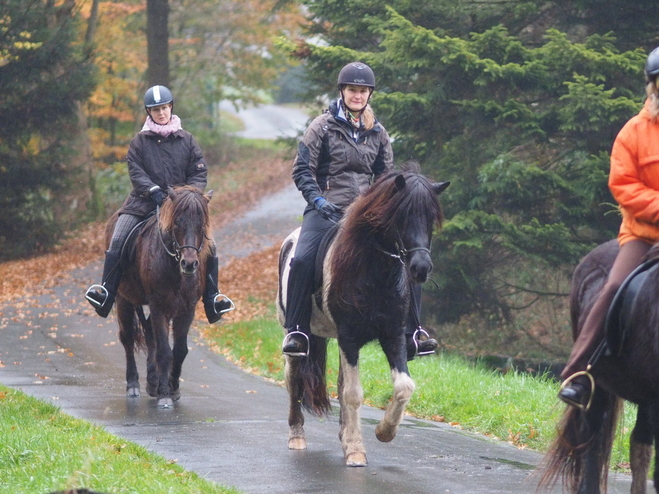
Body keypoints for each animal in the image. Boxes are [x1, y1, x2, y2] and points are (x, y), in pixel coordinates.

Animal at [107, 185, 213, 410]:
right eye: (177, 222)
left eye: (202, 224)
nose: (189, 264)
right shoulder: (159, 306)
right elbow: (165, 351)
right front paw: (165, 395)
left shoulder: (186, 309)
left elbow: (179, 350)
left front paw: (173, 388)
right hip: (124, 299)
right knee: (128, 339)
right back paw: (134, 385)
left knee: (149, 335)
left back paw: (153, 381)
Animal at [276, 163, 452, 466]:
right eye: (401, 216)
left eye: (431, 217)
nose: (420, 268)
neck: (374, 273)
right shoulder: (349, 337)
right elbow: (353, 394)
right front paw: (357, 450)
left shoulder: (392, 335)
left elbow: (404, 386)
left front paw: (384, 432)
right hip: (297, 335)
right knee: (293, 378)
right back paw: (297, 435)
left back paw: (343, 435)